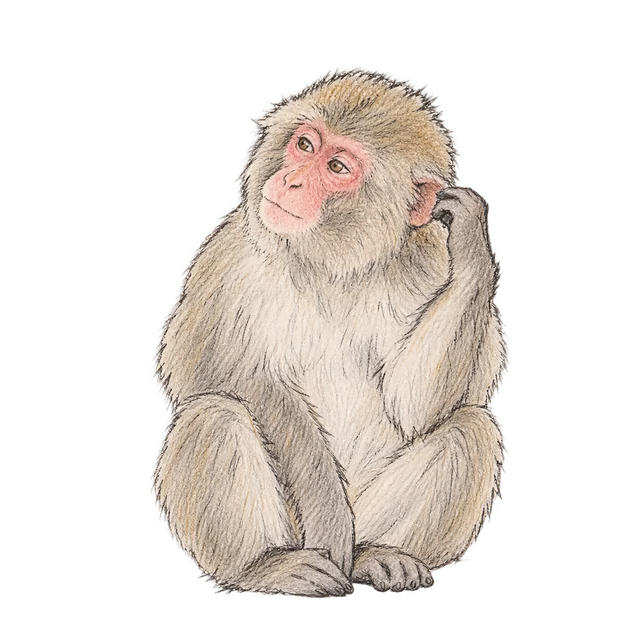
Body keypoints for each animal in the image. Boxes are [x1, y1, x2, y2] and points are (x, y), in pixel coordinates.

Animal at [149, 67, 510, 599]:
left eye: (337, 166)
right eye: (304, 145)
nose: (292, 179)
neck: (338, 265)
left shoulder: (431, 267)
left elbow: (414, 405)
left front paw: (469, 237)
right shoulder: (230, 258)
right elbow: (216, 372)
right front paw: (328, 517)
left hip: (373, 509)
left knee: (472, 429)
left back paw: (378, 555)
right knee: (214, 413)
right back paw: (264, 567)